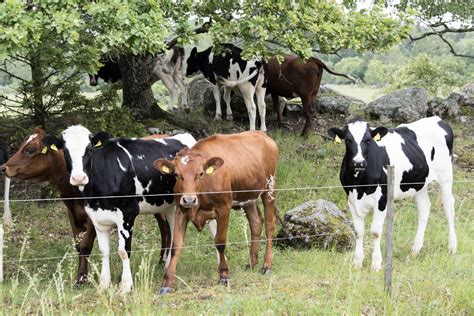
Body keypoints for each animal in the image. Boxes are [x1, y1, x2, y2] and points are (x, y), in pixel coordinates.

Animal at [48, 126, 217, 294]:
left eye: (89, 150)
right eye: (65, 152)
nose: (78, 178)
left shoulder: (127, 214)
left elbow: (123, 251)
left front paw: (125, 286)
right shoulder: (97, 218)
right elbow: (104, 250)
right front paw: (103, 284)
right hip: (171, 206)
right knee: (172, 232)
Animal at [154, 130, 280, 294]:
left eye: (201, 173)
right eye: (176, 174)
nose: (189, 199)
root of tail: (262, 134)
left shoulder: (224, 208)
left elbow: (220, 243)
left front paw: (224, 276)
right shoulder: (181, 210)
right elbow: (176, 246)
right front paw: (166, 283)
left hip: (269, 188)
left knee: (270, 225)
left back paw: (266, 265)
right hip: (249, 196)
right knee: (256, 223)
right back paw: (251, 263)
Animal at [328, 116, 458, 272]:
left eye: (368, 140)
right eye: (348, 140)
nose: (358, 162)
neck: (360, 185)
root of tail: (437, 118)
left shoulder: (382, 200)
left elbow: (375, 231)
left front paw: (376, 264)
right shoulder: (351, 200)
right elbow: (358, 231)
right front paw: (357, 263)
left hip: (446, 176)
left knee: (449, 208)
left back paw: (452, 247)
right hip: (419, 183)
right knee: (424, 208)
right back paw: (415, 249)